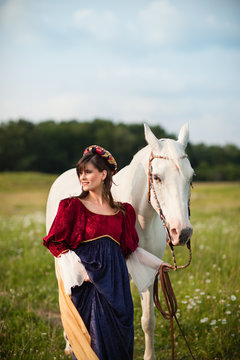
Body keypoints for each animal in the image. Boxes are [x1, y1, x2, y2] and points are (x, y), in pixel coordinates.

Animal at [46, 122, 194, 358]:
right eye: (157, 177)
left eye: (191, 177)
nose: (182, 232)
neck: (141, 219)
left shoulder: (149, 271)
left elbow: (148, 321)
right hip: (60, 259)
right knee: (67, 293)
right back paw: (70, 345)